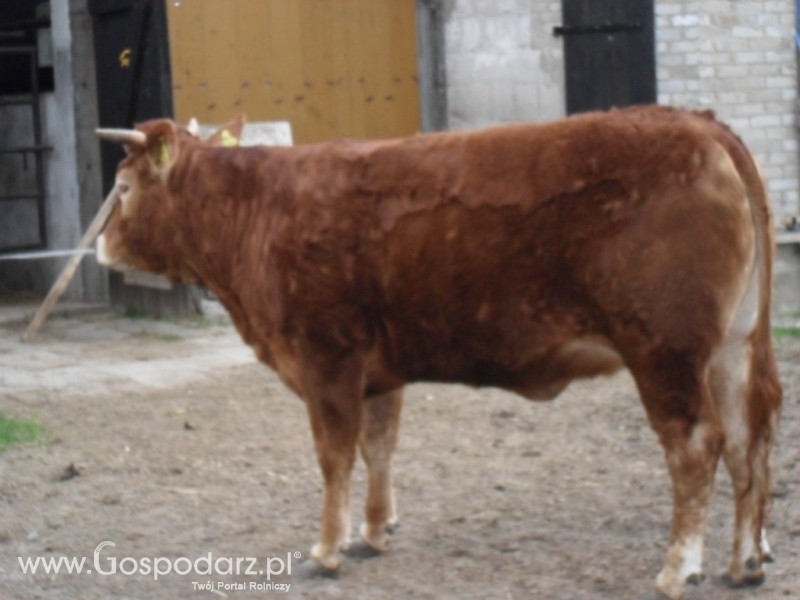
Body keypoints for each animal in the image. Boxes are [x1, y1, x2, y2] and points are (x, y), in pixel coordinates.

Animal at [95, 105, 782, 599]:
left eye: (123, 188)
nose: (99, 247)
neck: (257, 211)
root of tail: (697, 123)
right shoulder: (378, 369)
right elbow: (378, 445)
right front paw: (373, 531)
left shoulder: (325, 357)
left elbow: (334, 457)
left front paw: (326, 550)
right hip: (731, 348)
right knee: (749, 439)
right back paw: (745, 561)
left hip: (664, 350)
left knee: (696, 446)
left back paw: (678, 568)